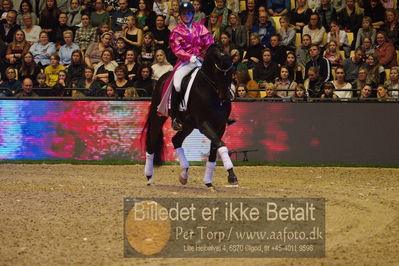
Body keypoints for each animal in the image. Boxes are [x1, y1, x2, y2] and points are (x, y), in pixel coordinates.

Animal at [143, 46, 239, 191]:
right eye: (217, 71)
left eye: (231, 72)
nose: (224, 97)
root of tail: (163, 78)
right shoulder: (204, 124)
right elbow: (221, 144)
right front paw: (232, 176)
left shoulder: (220, 125)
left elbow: (215, 149)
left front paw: (209, 183)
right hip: (158, 117)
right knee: (152, 142)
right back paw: (149, 177)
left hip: (188, 125)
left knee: (176, 140)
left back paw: (184, 174)